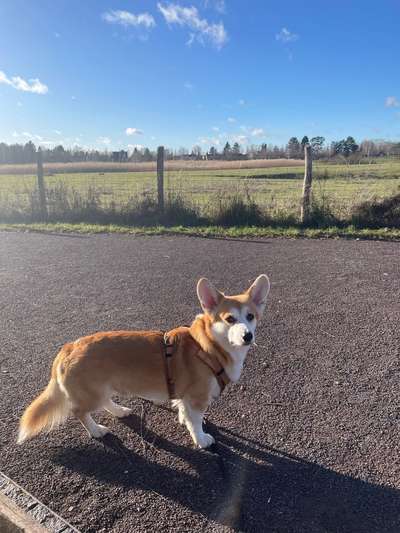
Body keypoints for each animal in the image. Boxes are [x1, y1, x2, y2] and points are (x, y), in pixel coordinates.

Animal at [17, 274, 270, 448]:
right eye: (229, 319)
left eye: (250, 317)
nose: (248, 336)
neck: (208, 346)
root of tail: (69, 347)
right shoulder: (197, 398)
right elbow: (196, 421)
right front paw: (201, 439)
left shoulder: (184, 396)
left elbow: (184, 411)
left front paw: (183, 419)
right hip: (90, 394)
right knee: (79, 411)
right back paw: (96, 431)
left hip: (102, 388)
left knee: (105, 402)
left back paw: (119, 411)